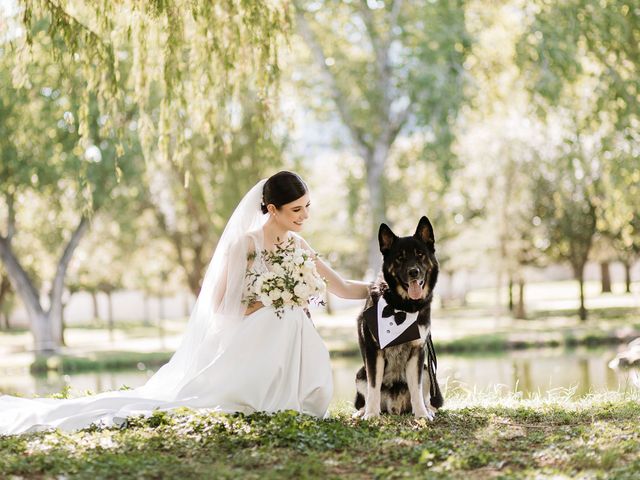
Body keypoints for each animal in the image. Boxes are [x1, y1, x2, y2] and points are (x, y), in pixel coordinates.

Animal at [352, 216, 442, 418]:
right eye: (400, 257)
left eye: (420, 254)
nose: (413, 272)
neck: (402, 306)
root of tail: (395, 406)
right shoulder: (373, 352)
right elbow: (373, 386)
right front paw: (371, 415)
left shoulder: (418, 352)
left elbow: (416, 389)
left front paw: (421, 415)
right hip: (360, 373)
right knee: (368, 392)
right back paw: (363, 411)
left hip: (427, 370)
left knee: (423, 394)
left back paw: (428, 409)